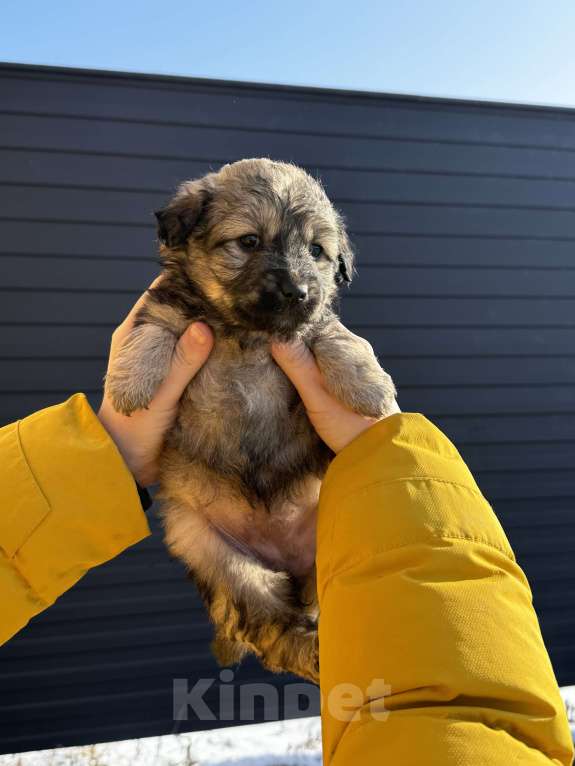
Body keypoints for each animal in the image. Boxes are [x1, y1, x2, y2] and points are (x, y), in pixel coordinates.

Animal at [104, 158, 396, 684]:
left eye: (317, 251)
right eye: (249, 241)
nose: (297, 291)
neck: (246, 334)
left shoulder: (313, 325)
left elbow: (339, 337)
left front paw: (369, 387)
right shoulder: (167, 307)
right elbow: (150, 330)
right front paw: (130, 383)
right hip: (217, 556)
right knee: (271, 629)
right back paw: (311, 653)